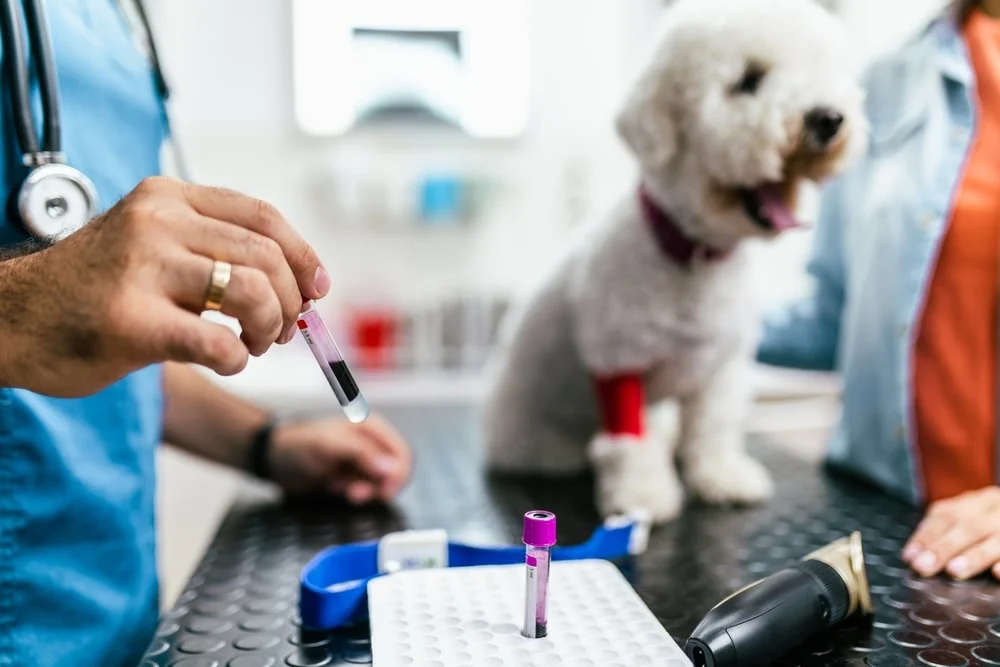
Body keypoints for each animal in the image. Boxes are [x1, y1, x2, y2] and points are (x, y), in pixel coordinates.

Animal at [482, 0, 868, 520]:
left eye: (819, 70)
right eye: (749, 80)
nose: (828, 118)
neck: (695, 259)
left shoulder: (720, 368)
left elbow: (713, 428)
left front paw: (721, 476)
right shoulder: (619, 363)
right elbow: (630, 443)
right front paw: (642, 495)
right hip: (532, 435)